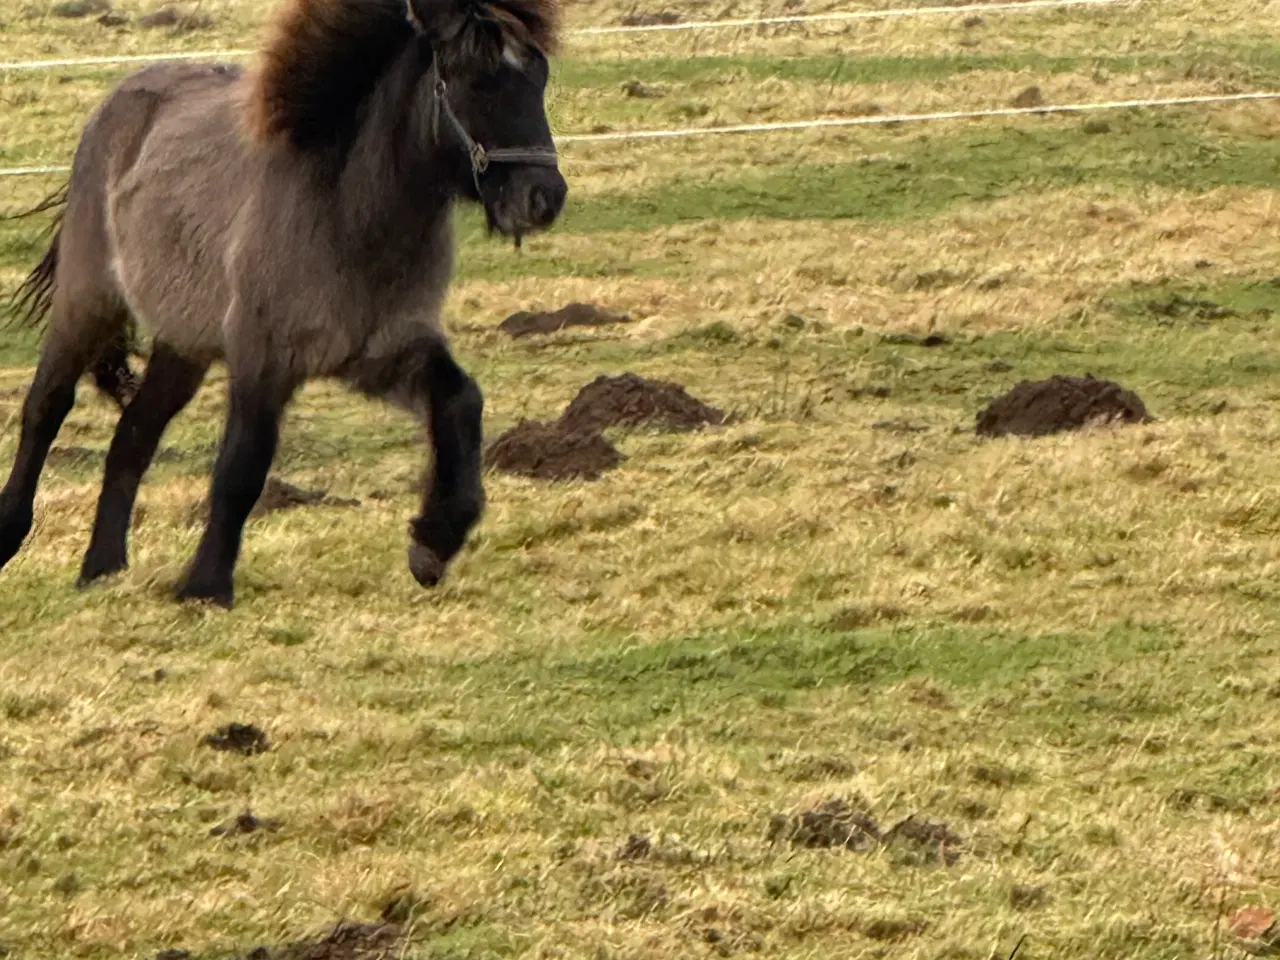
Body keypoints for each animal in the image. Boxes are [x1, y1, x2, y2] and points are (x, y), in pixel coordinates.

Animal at [0, 0, 565, 604]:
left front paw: (434, 541)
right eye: (472, 80)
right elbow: (242, 466)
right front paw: (205, 586)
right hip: (88, 303)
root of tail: (117, 104)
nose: (544, 198)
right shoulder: (263, 357)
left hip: (183, 345)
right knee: (46, 408)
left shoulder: (385, 352)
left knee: (132, 436)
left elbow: (461, 402)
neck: (348, 215)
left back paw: (101, 566)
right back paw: (14, 535)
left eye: (538, 76)